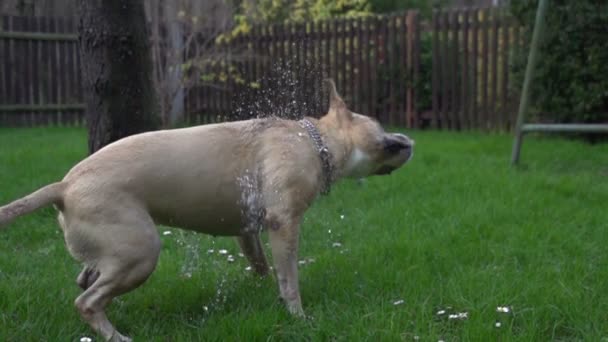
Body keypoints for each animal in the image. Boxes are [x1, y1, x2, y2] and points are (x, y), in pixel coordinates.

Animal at [0, 81, 414, 342]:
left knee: (86, 277)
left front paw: (266, 292)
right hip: (140, 252)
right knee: (86, 301)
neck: (315, 141)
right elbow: (290, 277)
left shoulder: (248, 229)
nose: (408, 140)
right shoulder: (284, 222)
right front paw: (297, 315)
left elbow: (262, 265)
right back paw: (116, 336)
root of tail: (64, 186)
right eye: (379, 124)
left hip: (114, 249)